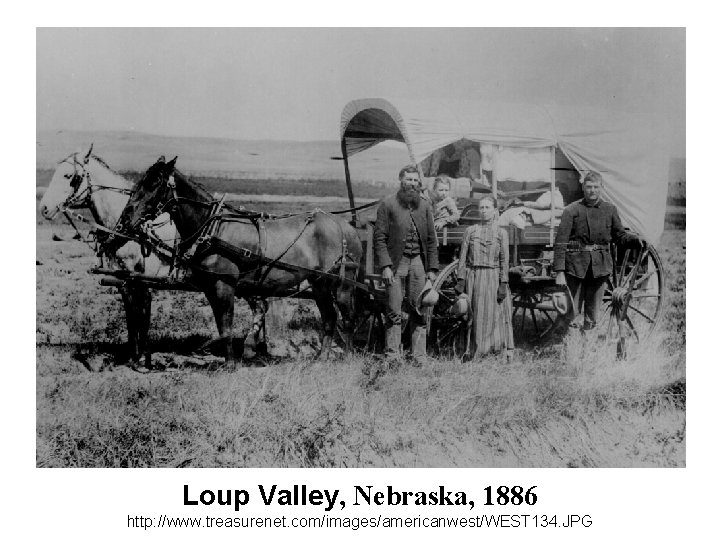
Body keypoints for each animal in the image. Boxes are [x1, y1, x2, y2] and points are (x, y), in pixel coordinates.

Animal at [38, 146, 177, 370]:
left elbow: (143, 313)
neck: (132, 228)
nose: (44, 208)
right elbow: (131, 315)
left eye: (68, 176)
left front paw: (144, 360)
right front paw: (133, 356)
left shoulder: (142, 279)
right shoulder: (123, 279)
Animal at [114, 157, 362, 368]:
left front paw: (231, 364)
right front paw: (230, 360)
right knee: (329, 317)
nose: (126, 219)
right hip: (319, 283)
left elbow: (226, 324)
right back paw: (322, 358)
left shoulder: (225, 286)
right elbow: (221, 324)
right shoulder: (211, 287)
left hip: (343, 284)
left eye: (155, 183)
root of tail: (346, 227)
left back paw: (348, 358)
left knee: (349, 318)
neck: (212, 228)